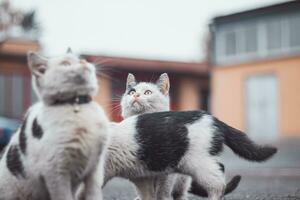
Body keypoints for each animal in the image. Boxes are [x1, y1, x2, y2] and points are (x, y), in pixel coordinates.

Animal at [0, 50, 109, 200]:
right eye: (66, 64)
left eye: (81, 59)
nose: (84, 62)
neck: (76, 103)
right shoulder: (56, 170)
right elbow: (64, 196)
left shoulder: (96, 167)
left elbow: (94, 192)